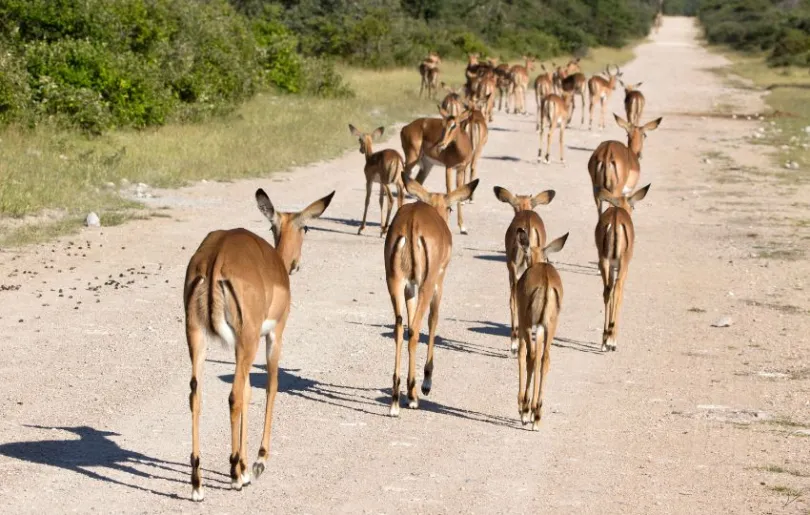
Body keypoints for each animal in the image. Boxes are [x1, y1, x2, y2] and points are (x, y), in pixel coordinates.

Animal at [185, 187, 332, 502]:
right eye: (306, 227)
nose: (296, 264)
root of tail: (216, 259)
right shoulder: (274, 335)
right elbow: (271, 386)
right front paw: (257, 462)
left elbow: (249, 392)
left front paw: (243, 465)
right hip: (249, 340)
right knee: (233, 396)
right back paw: (234, 476)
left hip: (198, 337)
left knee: (197, 396)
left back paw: (198, 484)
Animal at [384, 175, 476, 418]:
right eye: (450, 207)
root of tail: (412, 223)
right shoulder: (438, 282)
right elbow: (433, 320)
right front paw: (426, 384)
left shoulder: (410, 288)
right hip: (427, 284)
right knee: (416, 328)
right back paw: (413, 397)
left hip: (394, 282)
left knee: (401, 328)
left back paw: (396, 401)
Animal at [512, 228, 568, 430]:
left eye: (526, 254)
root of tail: (546, 281)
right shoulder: (542, 328)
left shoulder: (523, 324)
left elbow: (523, 355)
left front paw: (523, 408)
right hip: (549, 326)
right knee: (545, 359)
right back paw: (537, 414)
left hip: (529, 325)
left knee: (531, 357)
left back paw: (527, 411)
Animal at [592, 183, 652, 352]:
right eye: (633, 205)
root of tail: (615, 218)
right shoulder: (623, 267)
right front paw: (612, 339)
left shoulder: (611, 266)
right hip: (622, 264)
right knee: (617, 289)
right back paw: (611, 341)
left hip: (604, 262)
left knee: (607, 290)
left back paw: (604, 341)